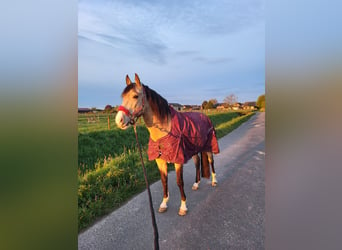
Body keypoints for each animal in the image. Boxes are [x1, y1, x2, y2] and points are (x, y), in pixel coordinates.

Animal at [116, 73, 220, 216]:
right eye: (122, 97)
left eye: (135, 96)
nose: (119, 120)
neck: (164, 130)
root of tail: (205, 116)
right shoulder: (160, 161)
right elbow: (164, 181)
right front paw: (164, 204)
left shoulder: (178, 160)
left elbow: (179, 182)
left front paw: (183, 206)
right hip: (193, 149)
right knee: (197, 162)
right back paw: (196, 184)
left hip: (209, 146)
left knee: (211, 161)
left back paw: (214, 181)